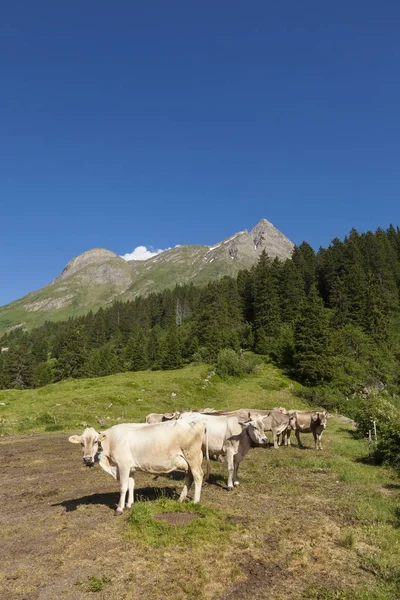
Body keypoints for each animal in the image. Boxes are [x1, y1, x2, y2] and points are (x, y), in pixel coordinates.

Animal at [69, 420, 205, 512]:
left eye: (96, 441)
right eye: (81, 443)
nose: (87, 459)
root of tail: (197, 423)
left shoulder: (123, 465)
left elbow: (123, 487)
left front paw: (120, 508)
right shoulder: (131, 468)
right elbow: (131, 485)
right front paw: (129, 504)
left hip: (193, 457)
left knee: (198, 476)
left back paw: (195, 501)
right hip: (188, 462)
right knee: (189, 477)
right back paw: (181, 499)